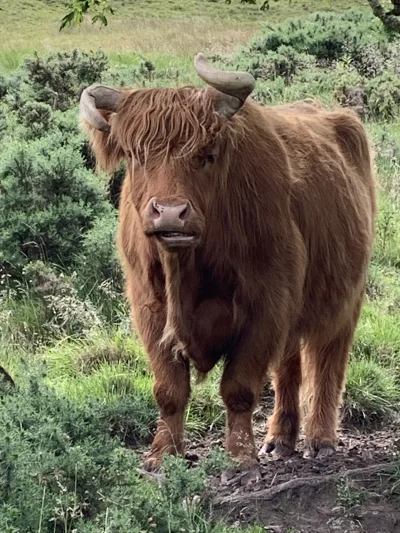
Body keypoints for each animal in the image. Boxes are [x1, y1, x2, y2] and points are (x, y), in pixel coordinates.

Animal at [80, 55, 376, 470]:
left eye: (207, 156)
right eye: (136, 155)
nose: (170, 214)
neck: (189, 269)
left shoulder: (266, 306)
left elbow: (239, 387)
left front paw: (240, 457)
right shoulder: (149, 308)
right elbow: (169, 389)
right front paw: (161, 455)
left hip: (345, 300)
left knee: (327, 365)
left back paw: (320, 440)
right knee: (289, 369)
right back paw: (279, 440)